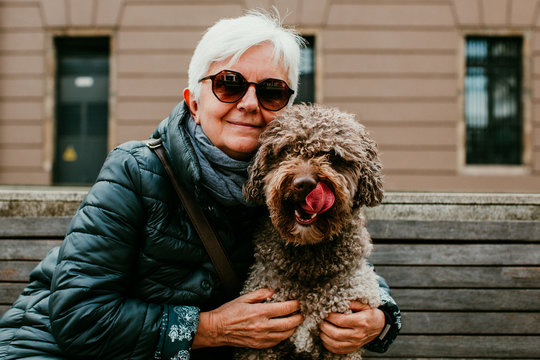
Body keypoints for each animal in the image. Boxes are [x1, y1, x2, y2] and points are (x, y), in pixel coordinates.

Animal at [236, 102, 384, 358]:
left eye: (333, 155)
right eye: (286, 150)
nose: (304, 184)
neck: (309, 269)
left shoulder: (342, 337)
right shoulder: (263, 341)